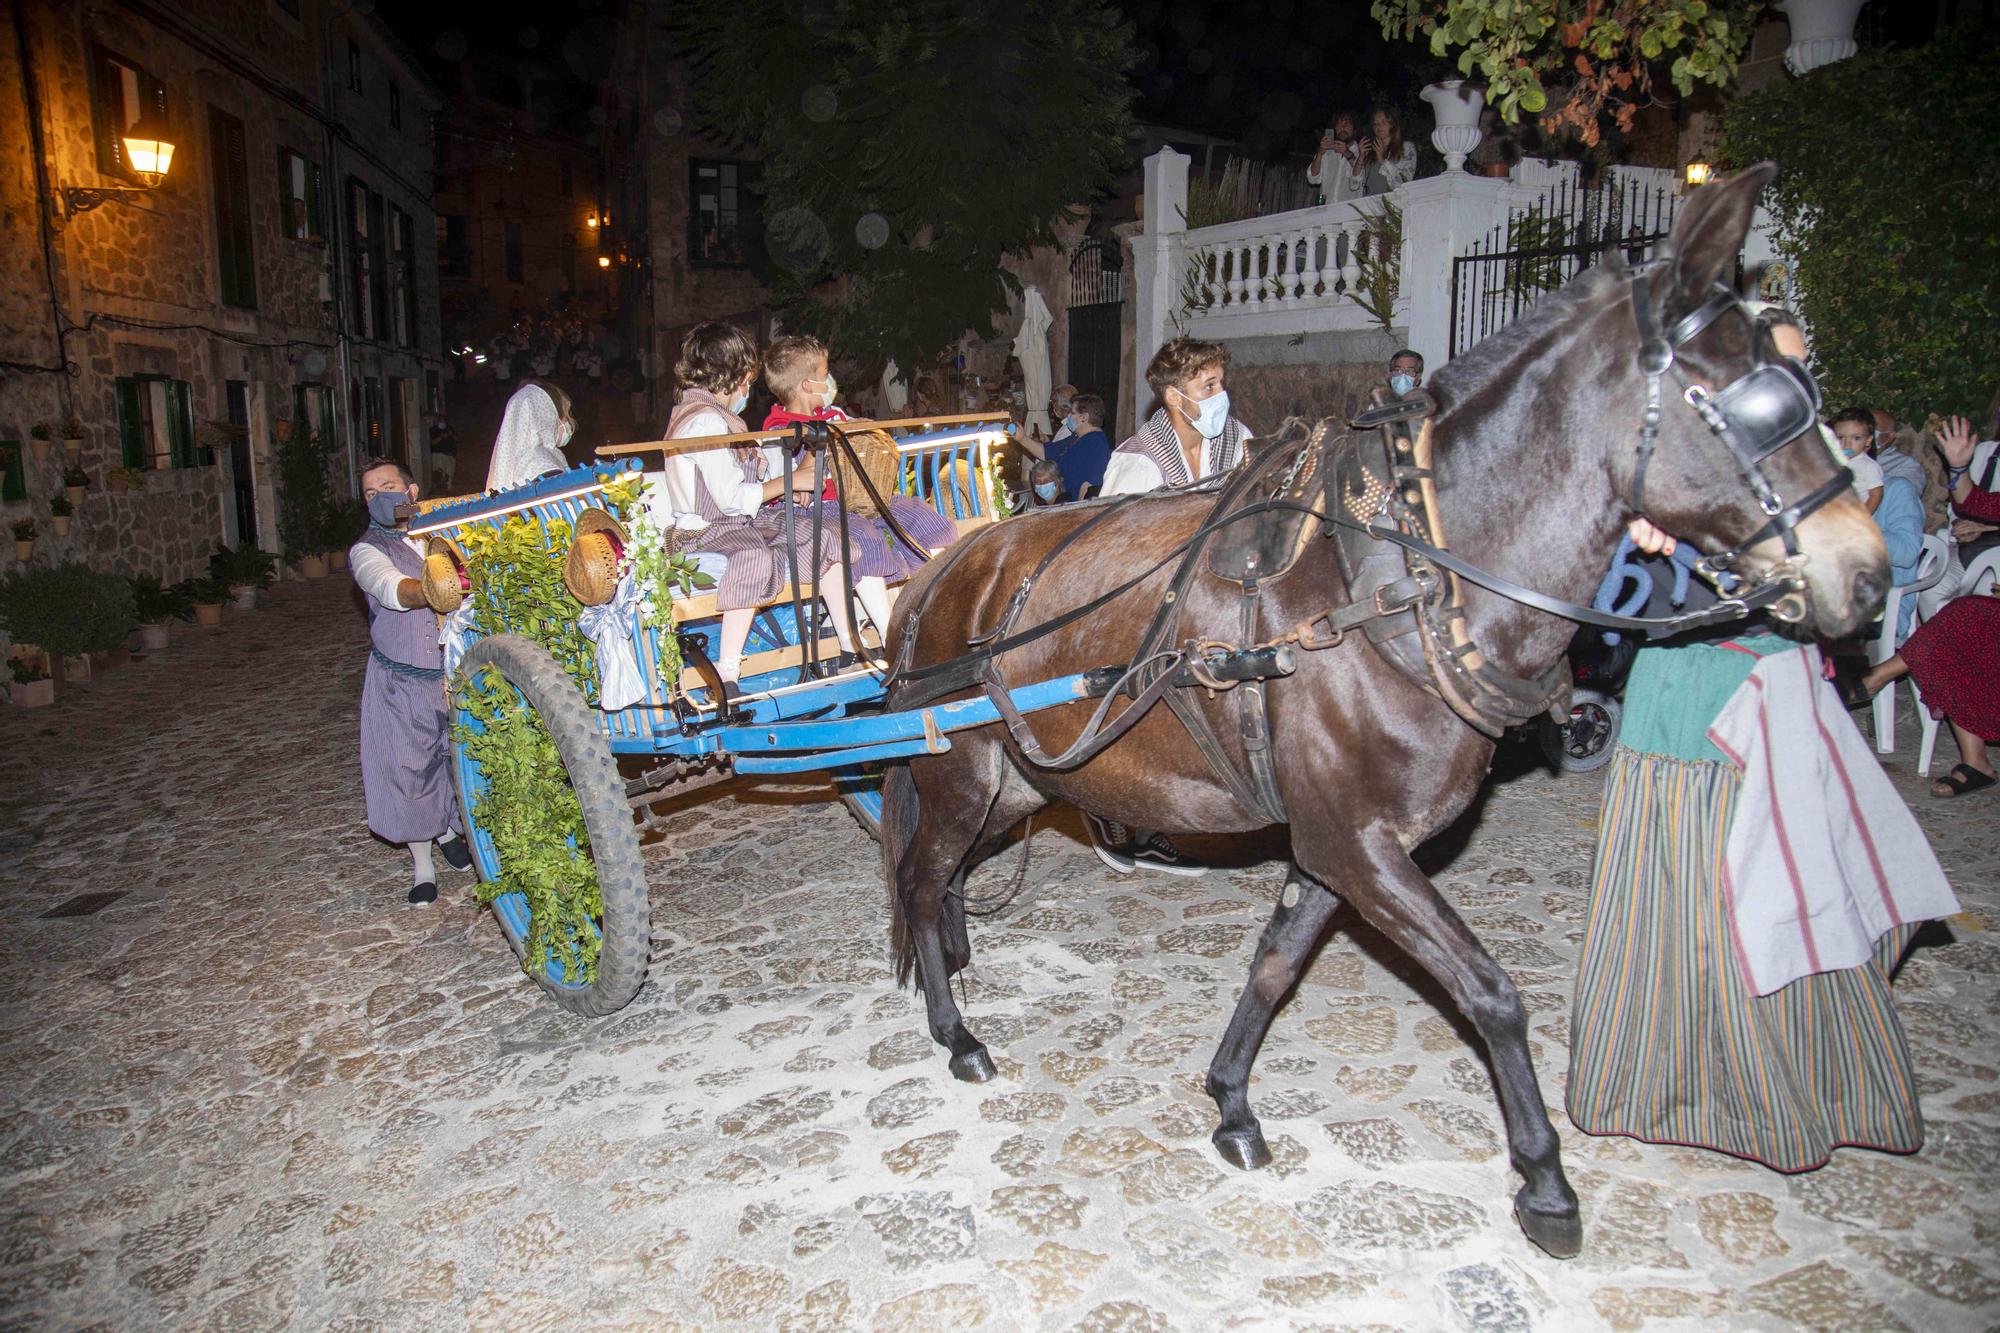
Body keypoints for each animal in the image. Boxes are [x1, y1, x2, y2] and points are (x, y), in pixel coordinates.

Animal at [880, 163, 1888, 1248]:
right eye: (1742, 403)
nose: (1867, 572)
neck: (1398, 585)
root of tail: (947, 566)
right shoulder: (1363, 846)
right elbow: (1490, 992)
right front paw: (1544, 1181)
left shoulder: (1339, 846)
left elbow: (1274, 965)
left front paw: (1232, 1101)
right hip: (960, 774)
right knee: (921, 877)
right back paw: (954, 1029)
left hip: (1021, 786)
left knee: (944, 876)